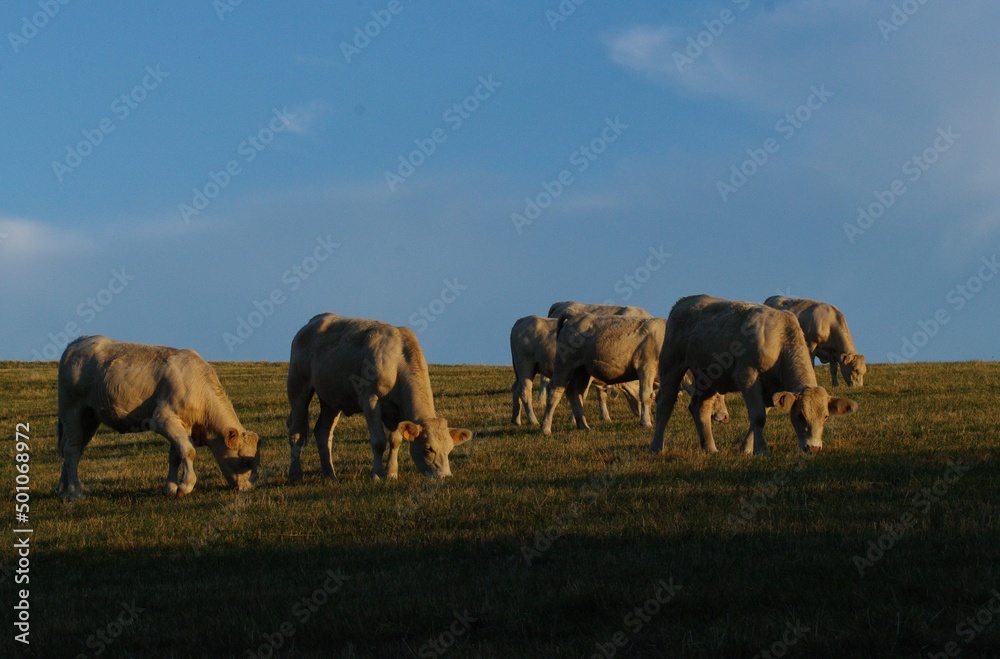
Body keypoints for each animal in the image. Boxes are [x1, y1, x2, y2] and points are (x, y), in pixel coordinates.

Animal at [57, 336, 261, 499]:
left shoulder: (183, 426)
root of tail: (77, 343)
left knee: (76, 448)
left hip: (90, 417)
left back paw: (64, 489)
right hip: (71, 409)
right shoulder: (163, 419)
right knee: (71, 449)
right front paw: (185, 486)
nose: (248, 488)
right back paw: (75, 492)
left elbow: (176, 455)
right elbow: (188, 451)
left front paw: (170, 487)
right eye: (245, 461)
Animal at [286, 313, 473, 482]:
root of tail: (313, 321)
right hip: (298, 387)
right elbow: (378, 441)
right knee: (296, 432)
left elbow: (395, 440)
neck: (398, 362)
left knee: (323, 432)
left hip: (331, 398)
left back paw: (330, 475)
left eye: (449, 449)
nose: (444, 475)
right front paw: (377, 474)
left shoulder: (397, 411)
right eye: (428, 448)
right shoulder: (370, 399)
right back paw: (296, 475)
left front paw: (391, 473)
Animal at [650, 295, 858, 455]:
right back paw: (656, 447)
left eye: (825, 416)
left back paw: (710, 448)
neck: (780, 340)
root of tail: (684, 302)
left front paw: (747, 448)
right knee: (665, 403)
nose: (813, 447)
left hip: (709, 376)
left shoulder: (774, 390)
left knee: (700, 408)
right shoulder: (748, 376)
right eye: (800, 415)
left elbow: (761, 415)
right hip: (671, 362)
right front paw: (761, 450)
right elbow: (758, 416)